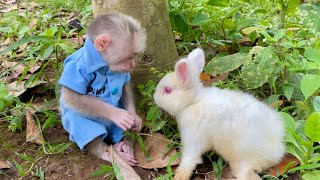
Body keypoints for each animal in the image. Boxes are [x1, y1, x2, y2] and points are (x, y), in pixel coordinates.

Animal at [58, 12, 146, 165]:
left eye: (133, 57)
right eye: (128, 57)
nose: (132, 65)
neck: (103, 64)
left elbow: (125, 86)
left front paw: (133, 116)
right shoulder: (75, 67)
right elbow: (71, 97)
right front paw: (118, 115)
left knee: (130, 130)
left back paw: (126, 145)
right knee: (80, 122)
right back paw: (103, 152)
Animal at [152, 48, 284, 180]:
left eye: (168, 90)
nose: (154, 97)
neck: (194, 102)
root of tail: (277, 152)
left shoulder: (193, 137)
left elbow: (189, 160)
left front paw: (179, 176)